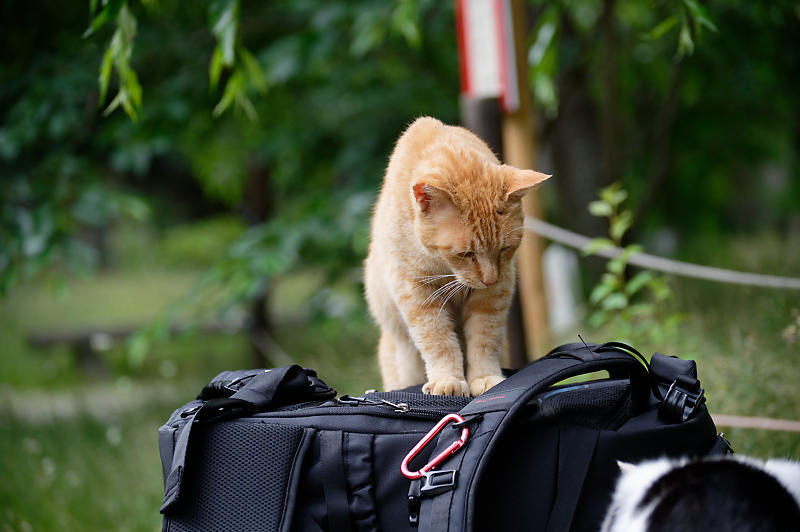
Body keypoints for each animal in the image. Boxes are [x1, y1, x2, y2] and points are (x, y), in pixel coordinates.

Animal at [368, 118, 552, 396]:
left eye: (504, 249)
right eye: (466, 254)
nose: (490, 279)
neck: (446, 268)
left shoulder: (494, 295)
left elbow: (484, 337)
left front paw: (485, 378)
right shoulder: (415, 292)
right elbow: (438, 340)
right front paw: (448, 380)